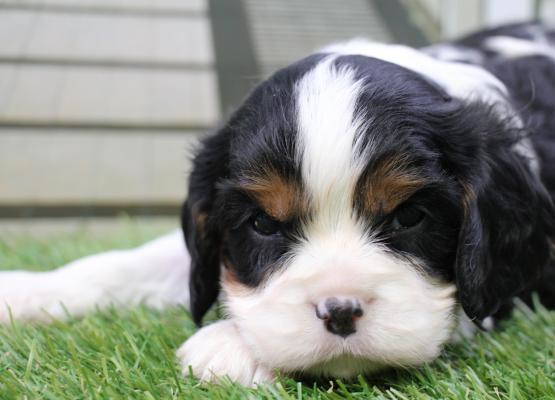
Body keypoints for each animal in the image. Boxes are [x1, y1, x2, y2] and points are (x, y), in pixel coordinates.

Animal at [1, 22, 555, 388]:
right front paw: (25, 290)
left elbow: (465, 307)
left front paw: (229, 342)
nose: (339, 311)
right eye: (264, 223)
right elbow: (132, 262)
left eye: (409, 217)